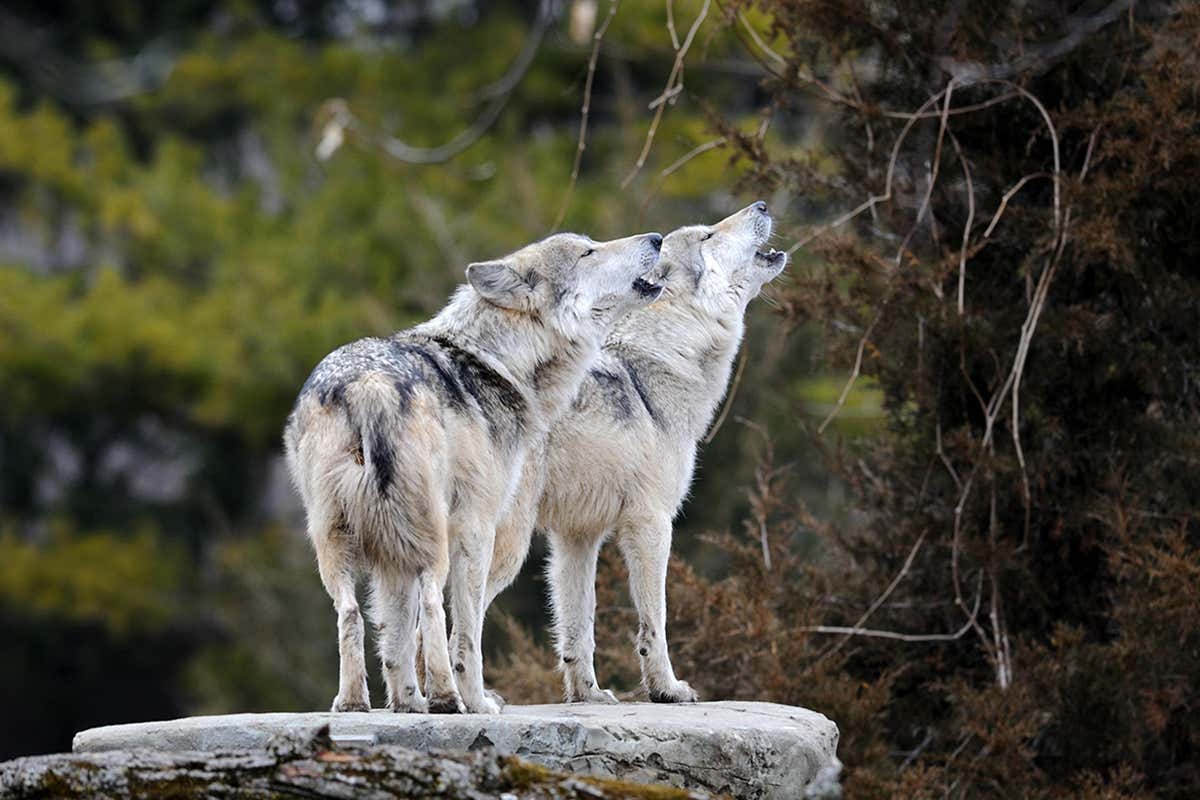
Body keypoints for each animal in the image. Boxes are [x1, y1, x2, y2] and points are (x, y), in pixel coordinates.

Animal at [284, 230, 664, 715]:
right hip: (433, 538)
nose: (656, 237)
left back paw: (354, 704)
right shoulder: (477, 526)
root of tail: (370, 384)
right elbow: (466, 634)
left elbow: (396, 640)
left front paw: (407, 703)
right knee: (433, 605)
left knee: (351, 613)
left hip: (338, 541)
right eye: (588, 251)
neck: (497, 361)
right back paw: (450, 699)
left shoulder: (392, 557)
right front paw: (475, 700)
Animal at [483, 202, 786, 703]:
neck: (661, 361)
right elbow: (654, 622)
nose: (762, 205)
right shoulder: (651, 523)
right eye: (708, 235)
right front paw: (667, 689)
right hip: (508, 546)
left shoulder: (577, 538)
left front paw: (586, 696)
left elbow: (578, 627)